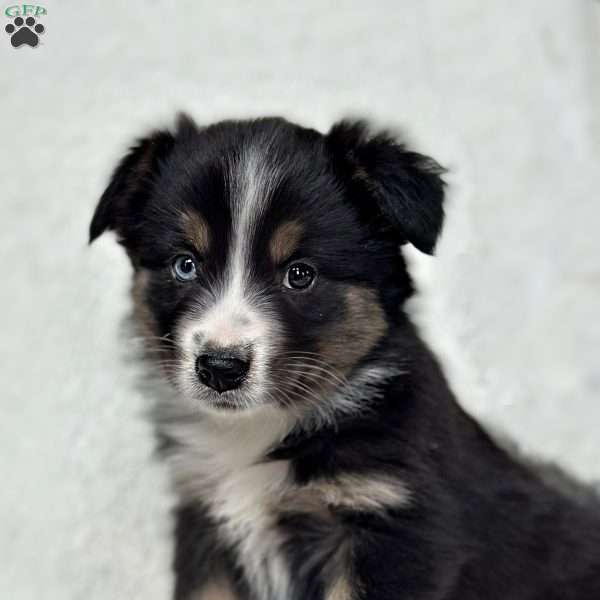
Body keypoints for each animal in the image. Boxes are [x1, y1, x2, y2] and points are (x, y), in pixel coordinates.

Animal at [89, 115, 600, 596]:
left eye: (300, 274)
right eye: (185, 265)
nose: (220, 368)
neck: (262, 430)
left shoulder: (394, 526)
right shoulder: (206, 528)